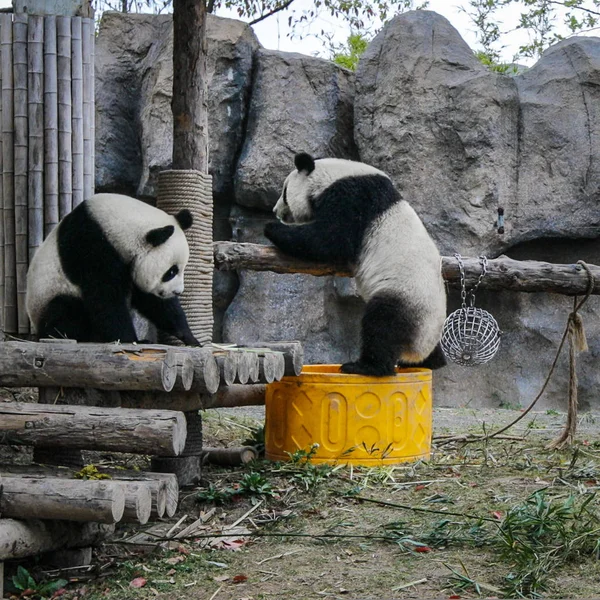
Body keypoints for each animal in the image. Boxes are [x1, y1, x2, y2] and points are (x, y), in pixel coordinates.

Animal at [26, 196, 199, 346]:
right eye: (171, 272)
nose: (177, 292)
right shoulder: (89, 246)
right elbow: (106, 297)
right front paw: (132, 340)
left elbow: (154, 302)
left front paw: (190, 338)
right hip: (48, 296)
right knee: (65, 310)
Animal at [264, 151, 448, 376]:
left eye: (284, 192)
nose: (276, 211)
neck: (333, 176)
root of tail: (421, 346)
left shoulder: (353, 197)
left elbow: (331, 239)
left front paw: (271, 228)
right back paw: (432, 361)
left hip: (406, 298)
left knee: (382, 324)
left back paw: (365, 367)